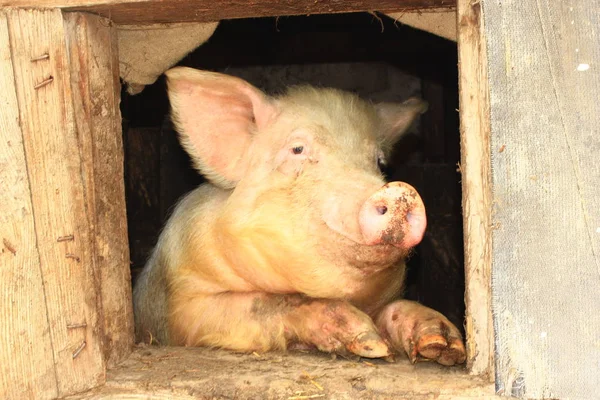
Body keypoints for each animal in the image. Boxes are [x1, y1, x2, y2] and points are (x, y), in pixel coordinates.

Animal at [134, 66, 466, 366]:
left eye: (379, 161)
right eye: (297, 149)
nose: (398, 192)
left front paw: (444, 344)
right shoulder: (183, 308)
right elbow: (263, 302)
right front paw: (367, 341)